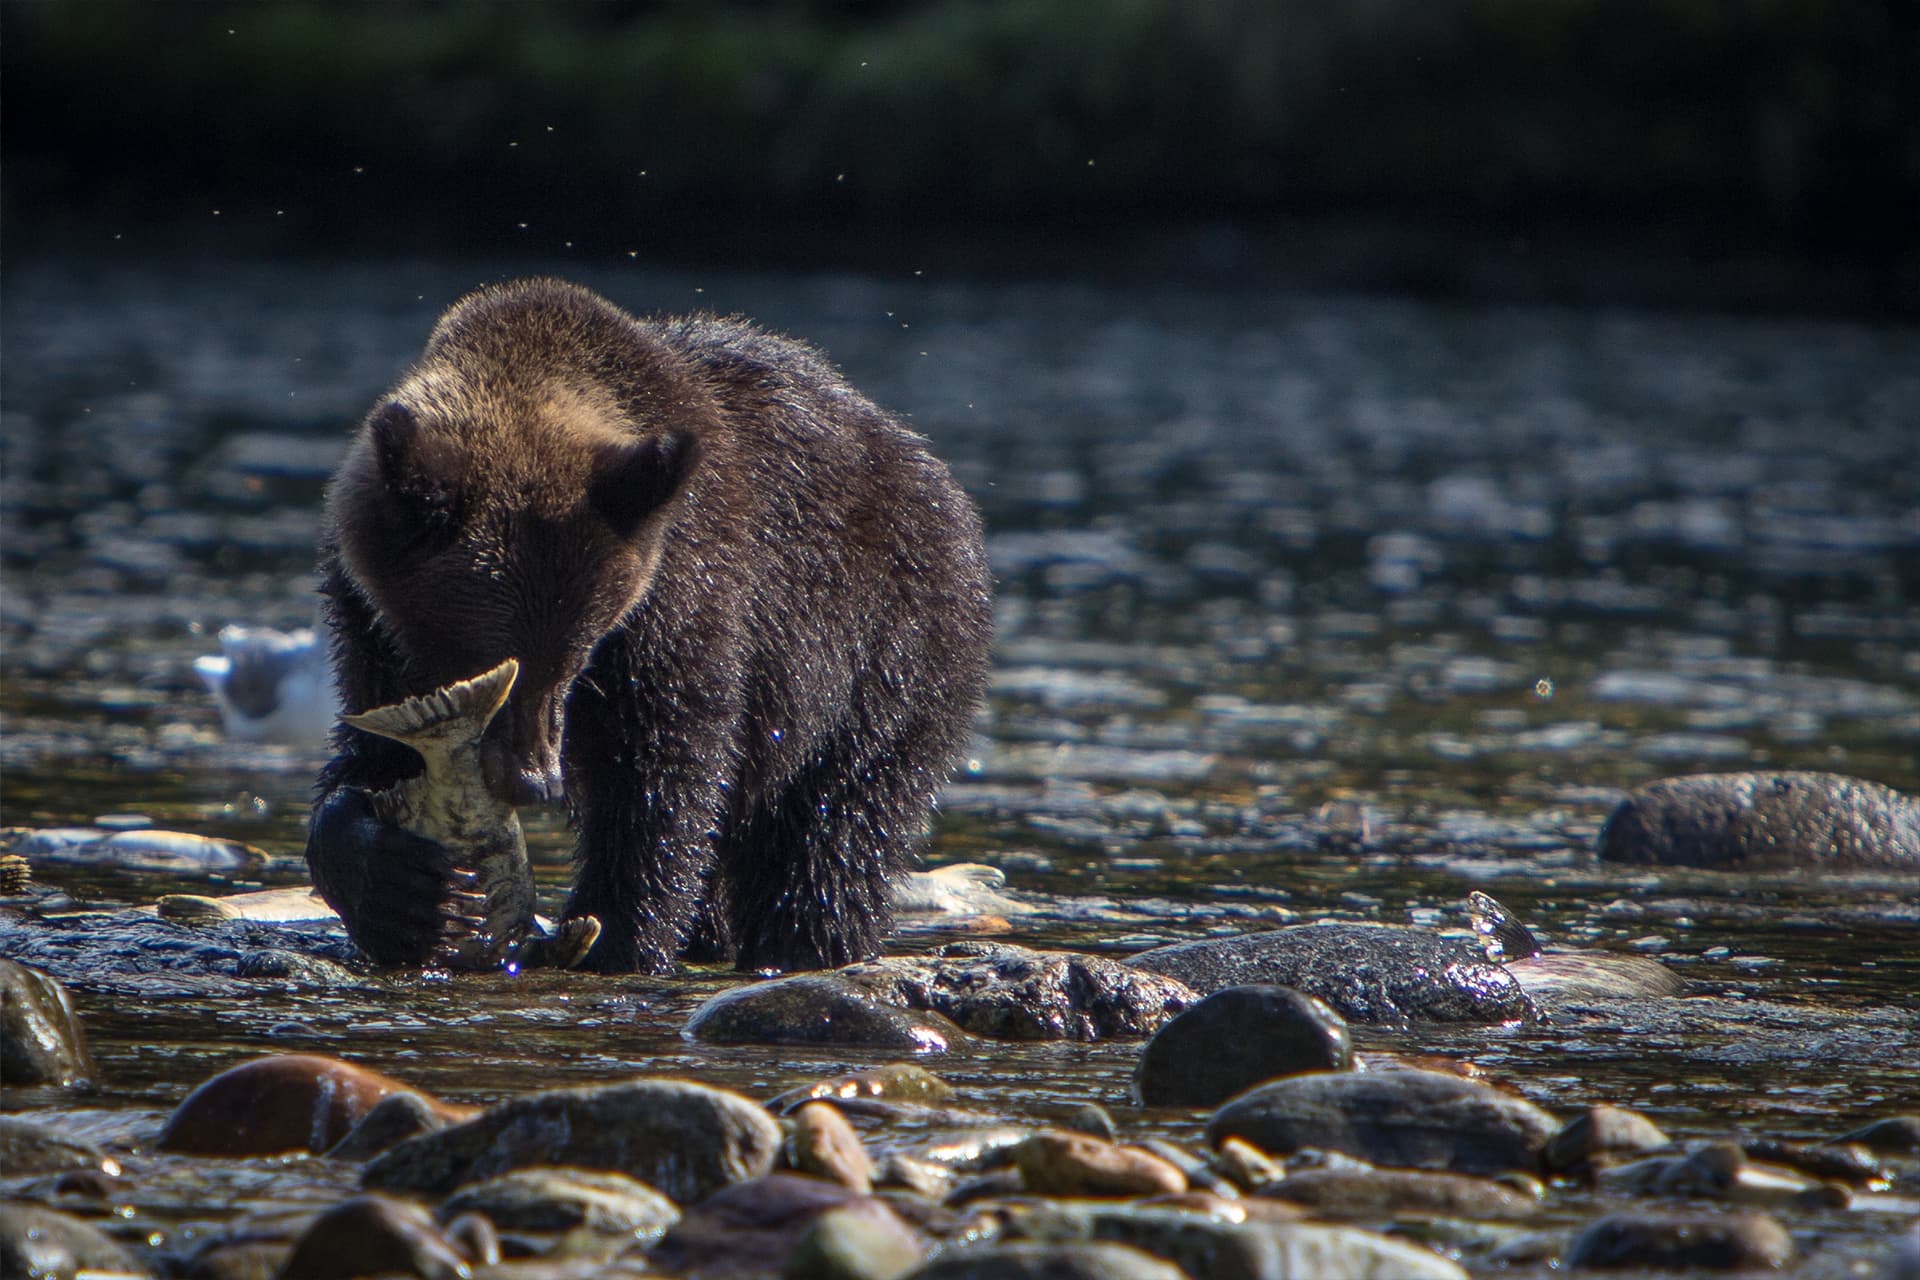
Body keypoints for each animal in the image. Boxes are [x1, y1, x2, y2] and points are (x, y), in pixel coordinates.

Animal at [307, 278, 998, 971]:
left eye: (577, 653)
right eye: (485, 650)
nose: (535, 780)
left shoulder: (688, 587)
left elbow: (665, 766)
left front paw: (616, 934)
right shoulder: (368, 619)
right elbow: (374, 751)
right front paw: (403, 887)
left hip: (890, 641)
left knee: (838, 820)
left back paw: (806, 940)